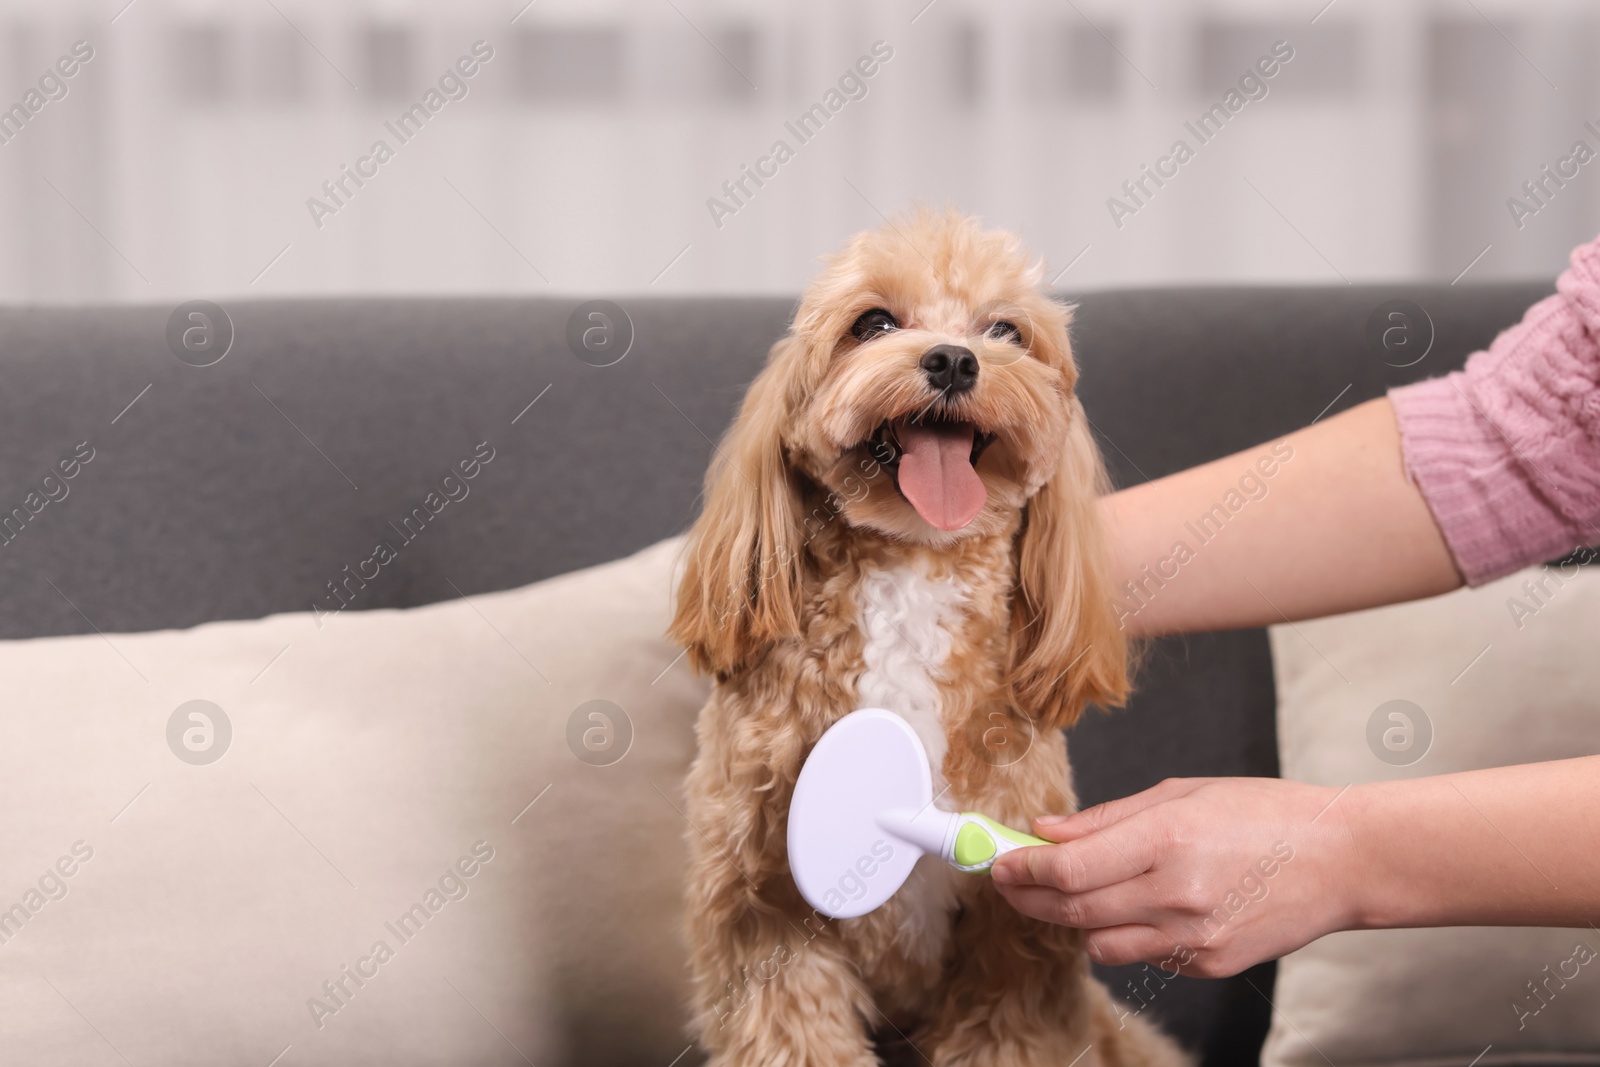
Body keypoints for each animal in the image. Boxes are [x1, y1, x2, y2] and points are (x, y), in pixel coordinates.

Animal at [668, 211, 1184, 1067]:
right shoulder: (760, 911)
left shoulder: (1013, 951)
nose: (951, 358)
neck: (912, 570)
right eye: (873, 323)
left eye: (1005, 330)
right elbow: (795, 1027)